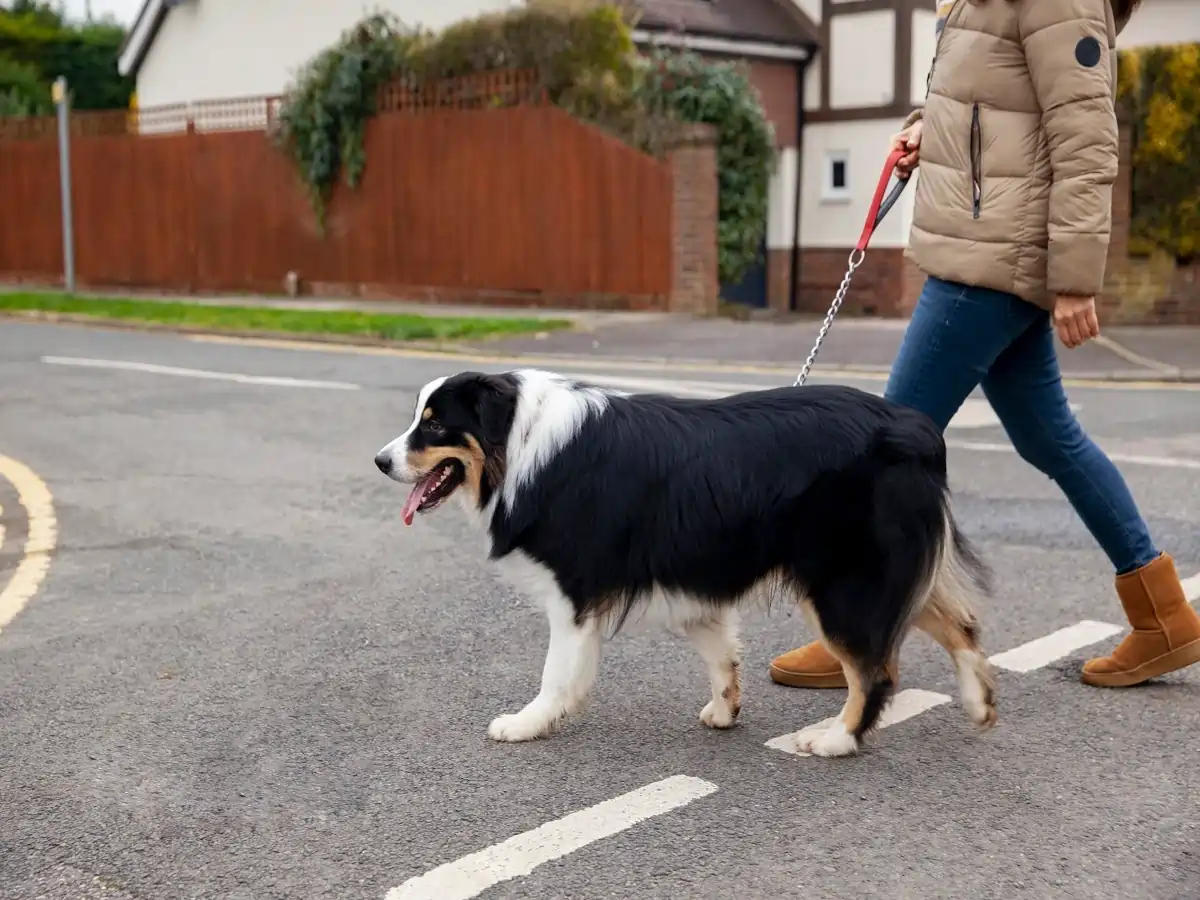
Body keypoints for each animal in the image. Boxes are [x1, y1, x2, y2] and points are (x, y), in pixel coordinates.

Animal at [372, 369, 993, 758]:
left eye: (434, 424)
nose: (379, 461)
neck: (519, 440)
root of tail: (918, 429)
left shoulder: (573, 592)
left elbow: (557, 672)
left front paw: (527, 723)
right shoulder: (691, 578)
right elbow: (722, 655)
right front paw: (725, 710)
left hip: (843, 581)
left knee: (875, 671)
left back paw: (835, 740)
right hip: (889, 570)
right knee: (960, 624)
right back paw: (980, 700)